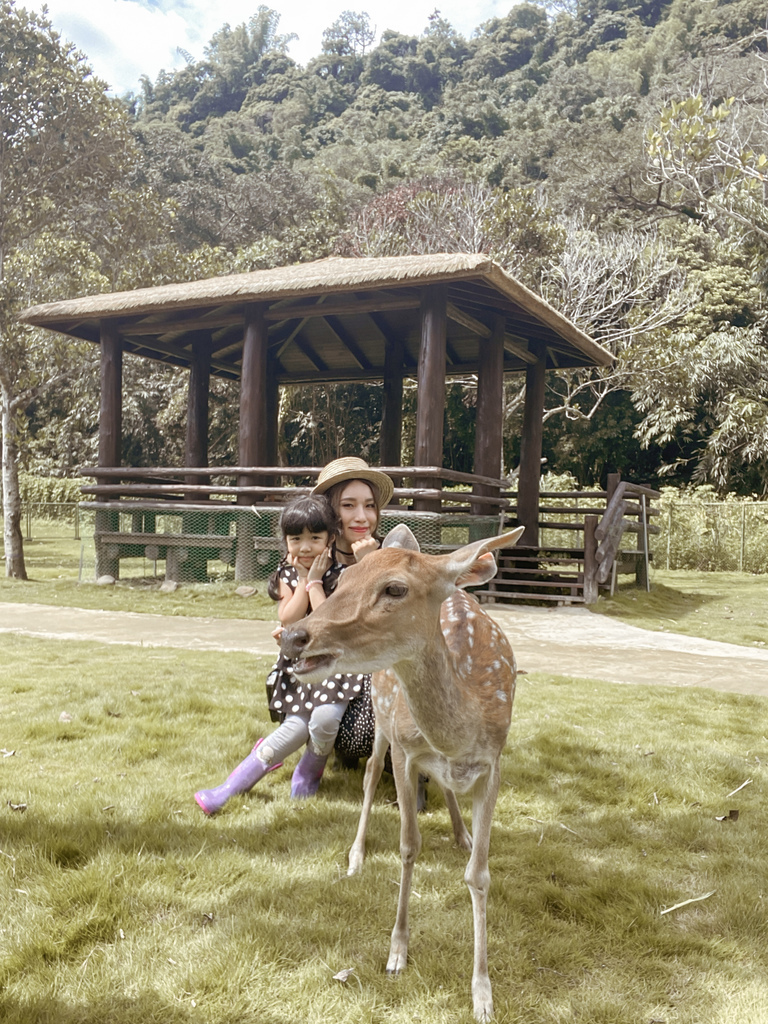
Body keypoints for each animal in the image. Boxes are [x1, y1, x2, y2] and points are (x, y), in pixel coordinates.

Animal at [280, 524, 528, 1019]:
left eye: (395, 589)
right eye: (344, 577)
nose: (293, 637)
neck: (463, 730)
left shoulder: (493, 763)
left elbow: (479, 874)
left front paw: (482, 995)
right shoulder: (406, 751)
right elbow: (408, 846)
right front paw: (396, 951)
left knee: (445, 786)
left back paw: (460, 833)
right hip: (381, 713)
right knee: (371, 771)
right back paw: (356, 856)